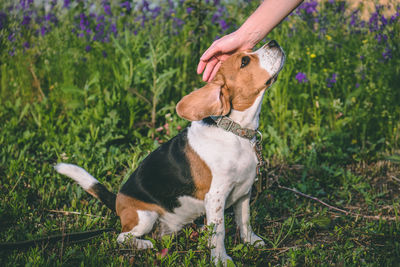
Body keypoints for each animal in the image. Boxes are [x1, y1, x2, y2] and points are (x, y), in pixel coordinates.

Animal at [55, 39, 284, 266]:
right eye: (244, 61)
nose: (274, 42)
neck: (235, 131)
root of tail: (118, 201)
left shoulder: (244, 191)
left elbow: (244, 220)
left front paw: (251, 241)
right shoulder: (216, 197)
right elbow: (219, 232)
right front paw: (221, 259)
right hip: (144, 217)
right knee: (122, 237)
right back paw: (143, 244)